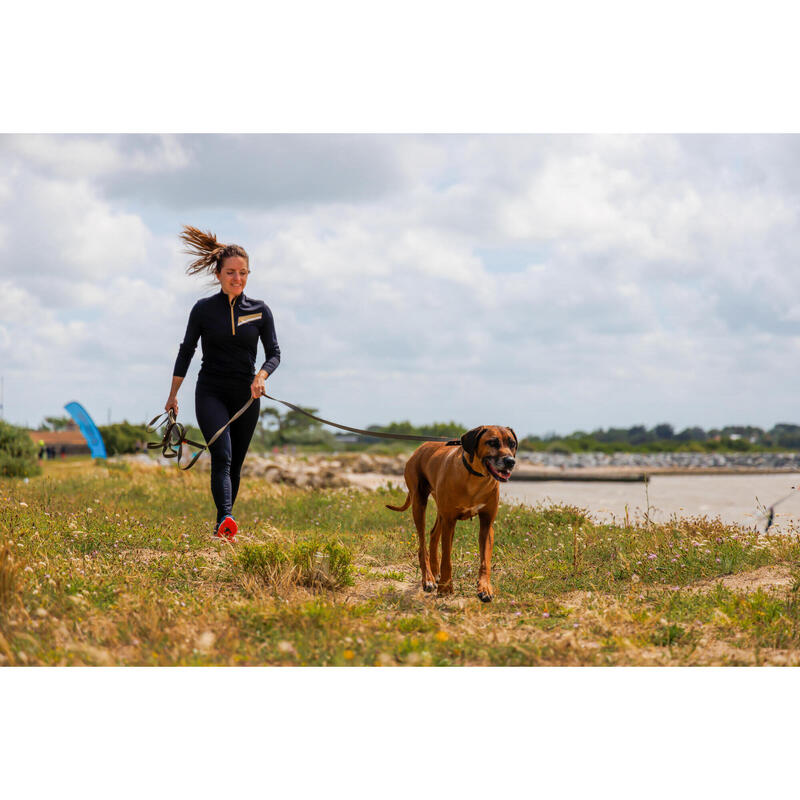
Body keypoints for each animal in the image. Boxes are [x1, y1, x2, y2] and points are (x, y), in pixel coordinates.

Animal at [386, 424, 520, 600]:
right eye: (492, 442)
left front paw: (485, 588)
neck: (475, 478)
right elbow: (447, 559)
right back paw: (428, 578)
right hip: (419, 502)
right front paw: (445, 588)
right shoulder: (450, 521)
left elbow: (485, 560)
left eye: (512, 444)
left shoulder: (486, 523)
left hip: (440, 509)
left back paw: (434, 572)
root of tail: (420, 448)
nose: (510, 461)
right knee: (422, 544)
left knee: (433, 534)